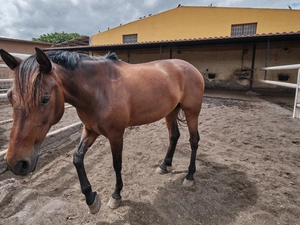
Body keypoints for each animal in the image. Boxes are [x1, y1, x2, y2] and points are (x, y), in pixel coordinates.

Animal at [0, 47, 205, 213]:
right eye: (9, 97)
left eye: (44, 98)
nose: (15, 162)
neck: (99, 89)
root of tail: (190, 67)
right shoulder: (90, 130)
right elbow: (77, 159)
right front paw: (91, 198)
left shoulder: (116, 134)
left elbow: (116, 164)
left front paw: (116, 196)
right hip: (171, 112)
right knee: (174, 136)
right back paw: (164, 165)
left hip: (192, 112)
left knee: (193, 140)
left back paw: (189, 176)